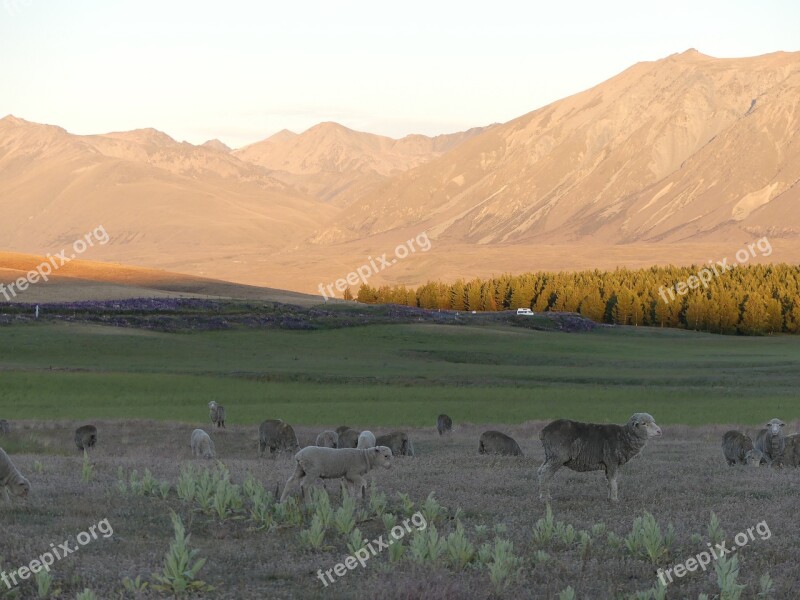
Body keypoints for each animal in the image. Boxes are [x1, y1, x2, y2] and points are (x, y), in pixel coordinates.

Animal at [536, 412, 664, 502]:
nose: (659, 431)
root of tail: (543, 431)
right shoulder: (612, 461)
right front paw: (614, 499)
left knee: (540, 471)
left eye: (653, 421)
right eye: (644, 424)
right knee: (545, 473)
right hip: (557, 457)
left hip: (549, 455)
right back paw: (545, 498)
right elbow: (613, 480)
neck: (624, 437)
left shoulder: (608, 464)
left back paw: (541, 494)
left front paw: (609, 498)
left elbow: (609, 482)